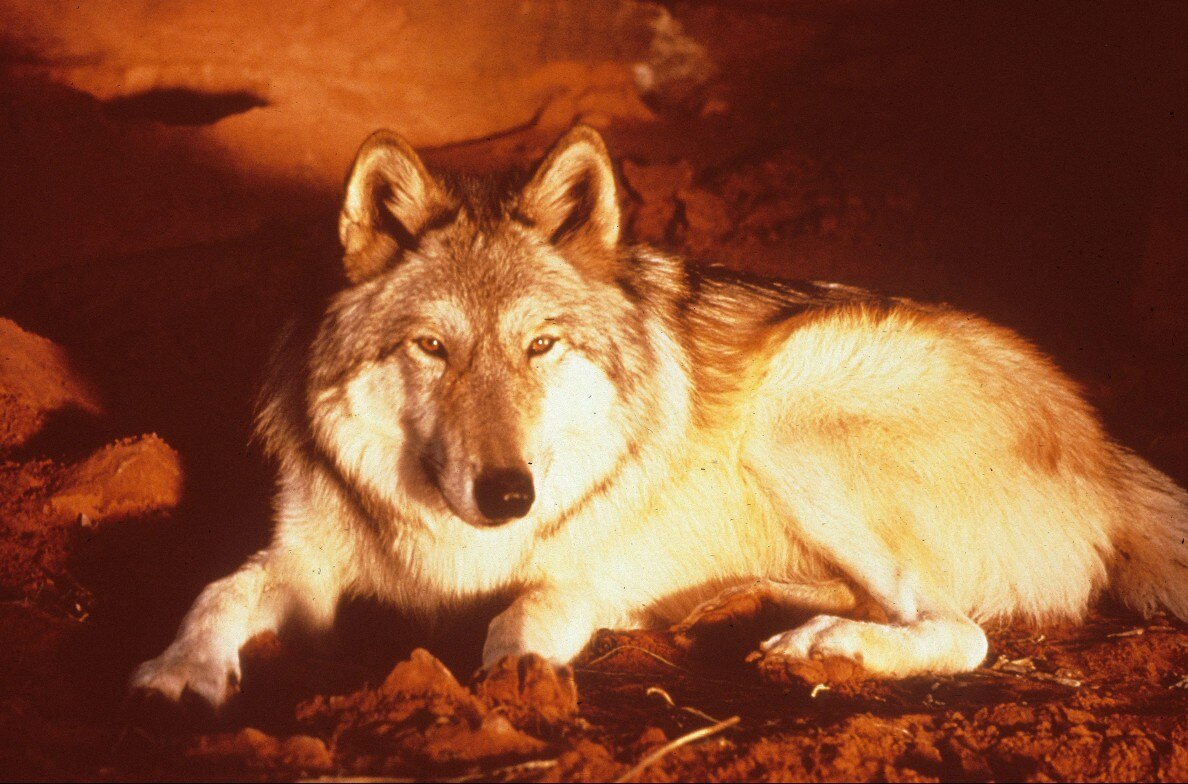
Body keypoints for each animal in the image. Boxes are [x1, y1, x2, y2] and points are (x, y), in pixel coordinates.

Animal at [131, 125, 1188, 708]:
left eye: (541, 345)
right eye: (433, 346)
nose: (509, 494)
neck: (449, 536)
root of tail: (1105, 441)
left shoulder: (573, 569)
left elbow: (526, 608)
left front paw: (518, 689)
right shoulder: (305, 565)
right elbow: (219, 593)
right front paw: (178, 674)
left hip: (795, 400)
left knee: (962, 631)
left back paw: (824, 645)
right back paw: (747, 610)